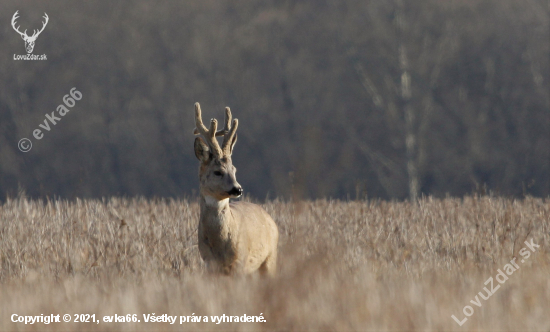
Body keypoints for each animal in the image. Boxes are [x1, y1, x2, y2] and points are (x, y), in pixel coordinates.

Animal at [194, 103, 280, 274]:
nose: (237, 189)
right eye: (218, 172)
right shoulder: (209, 263)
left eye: (234, 169)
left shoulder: (240, 260)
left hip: (270, 258)